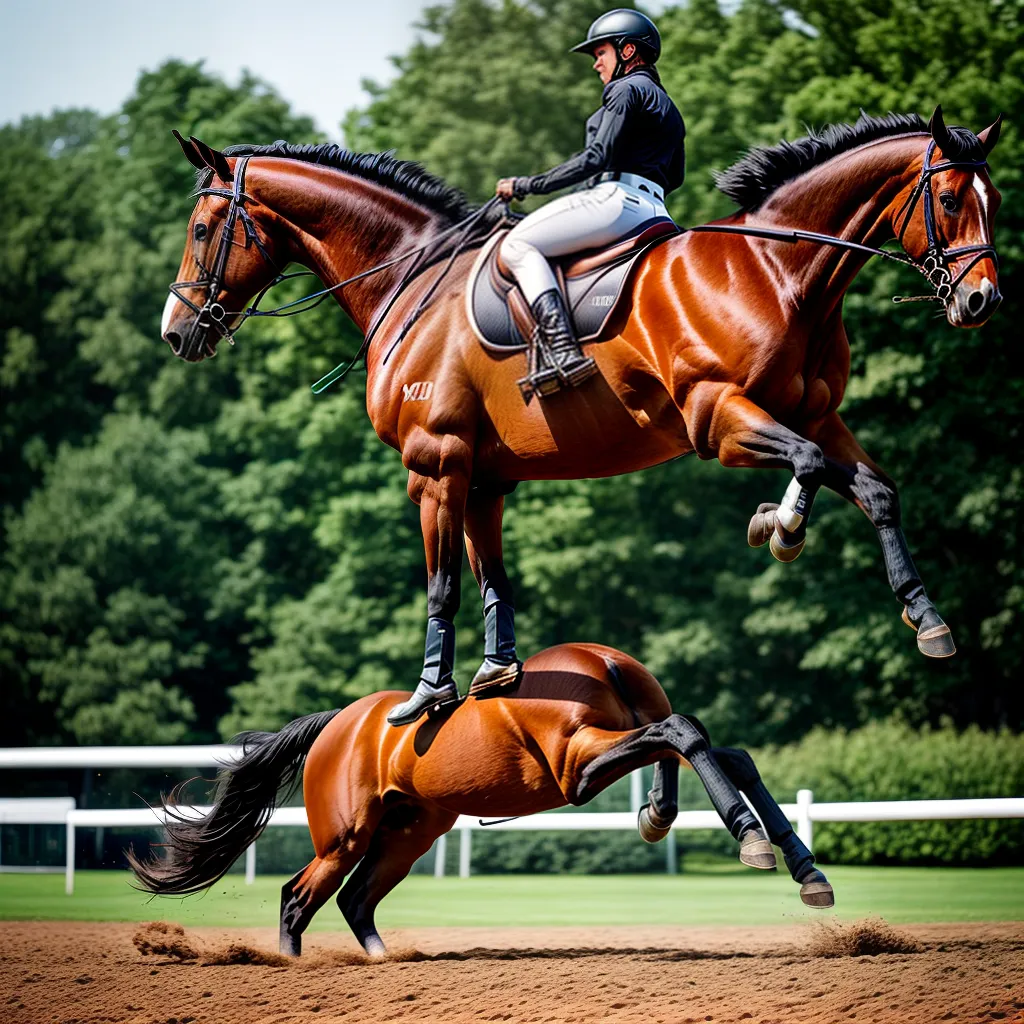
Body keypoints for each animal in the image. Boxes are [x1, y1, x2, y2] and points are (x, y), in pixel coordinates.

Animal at [129, 643, 833, 957]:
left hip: (409, 836)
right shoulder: (577, 772)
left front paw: (807, 871)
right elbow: (681, 733)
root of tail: (338, 723)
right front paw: (743, 835)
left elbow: (718, 752)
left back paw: (386, 962)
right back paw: (290, 966)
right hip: (343, 837)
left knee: (355, 900)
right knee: (297, 898)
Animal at [160, 107, 1002, 697]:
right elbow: (488, 579)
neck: (774, 268)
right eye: (953, 197)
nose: (176, 330)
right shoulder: (476, 473)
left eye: (200, 227)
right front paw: (493, 676)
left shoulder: (439, 464)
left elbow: (443, 582)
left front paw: (428, 696)